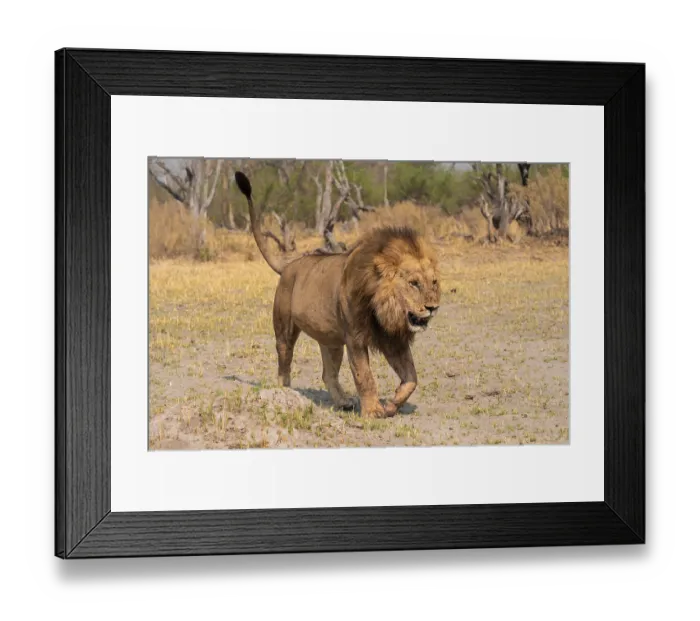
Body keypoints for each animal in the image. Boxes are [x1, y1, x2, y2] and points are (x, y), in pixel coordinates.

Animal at [234, 171, 441, 418]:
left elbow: (412, 378)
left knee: (328, 374)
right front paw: (373, 411)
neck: (383, 308)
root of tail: (289, 265)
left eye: (434, 282)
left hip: (330, 339)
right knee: (284, 361)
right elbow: (364, 376)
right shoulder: (355, 338)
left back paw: (343, 402)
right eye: (413, 283)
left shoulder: (393, 339)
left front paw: (392, 405)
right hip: (285, 329)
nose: (433, 307)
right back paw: (285, 392)